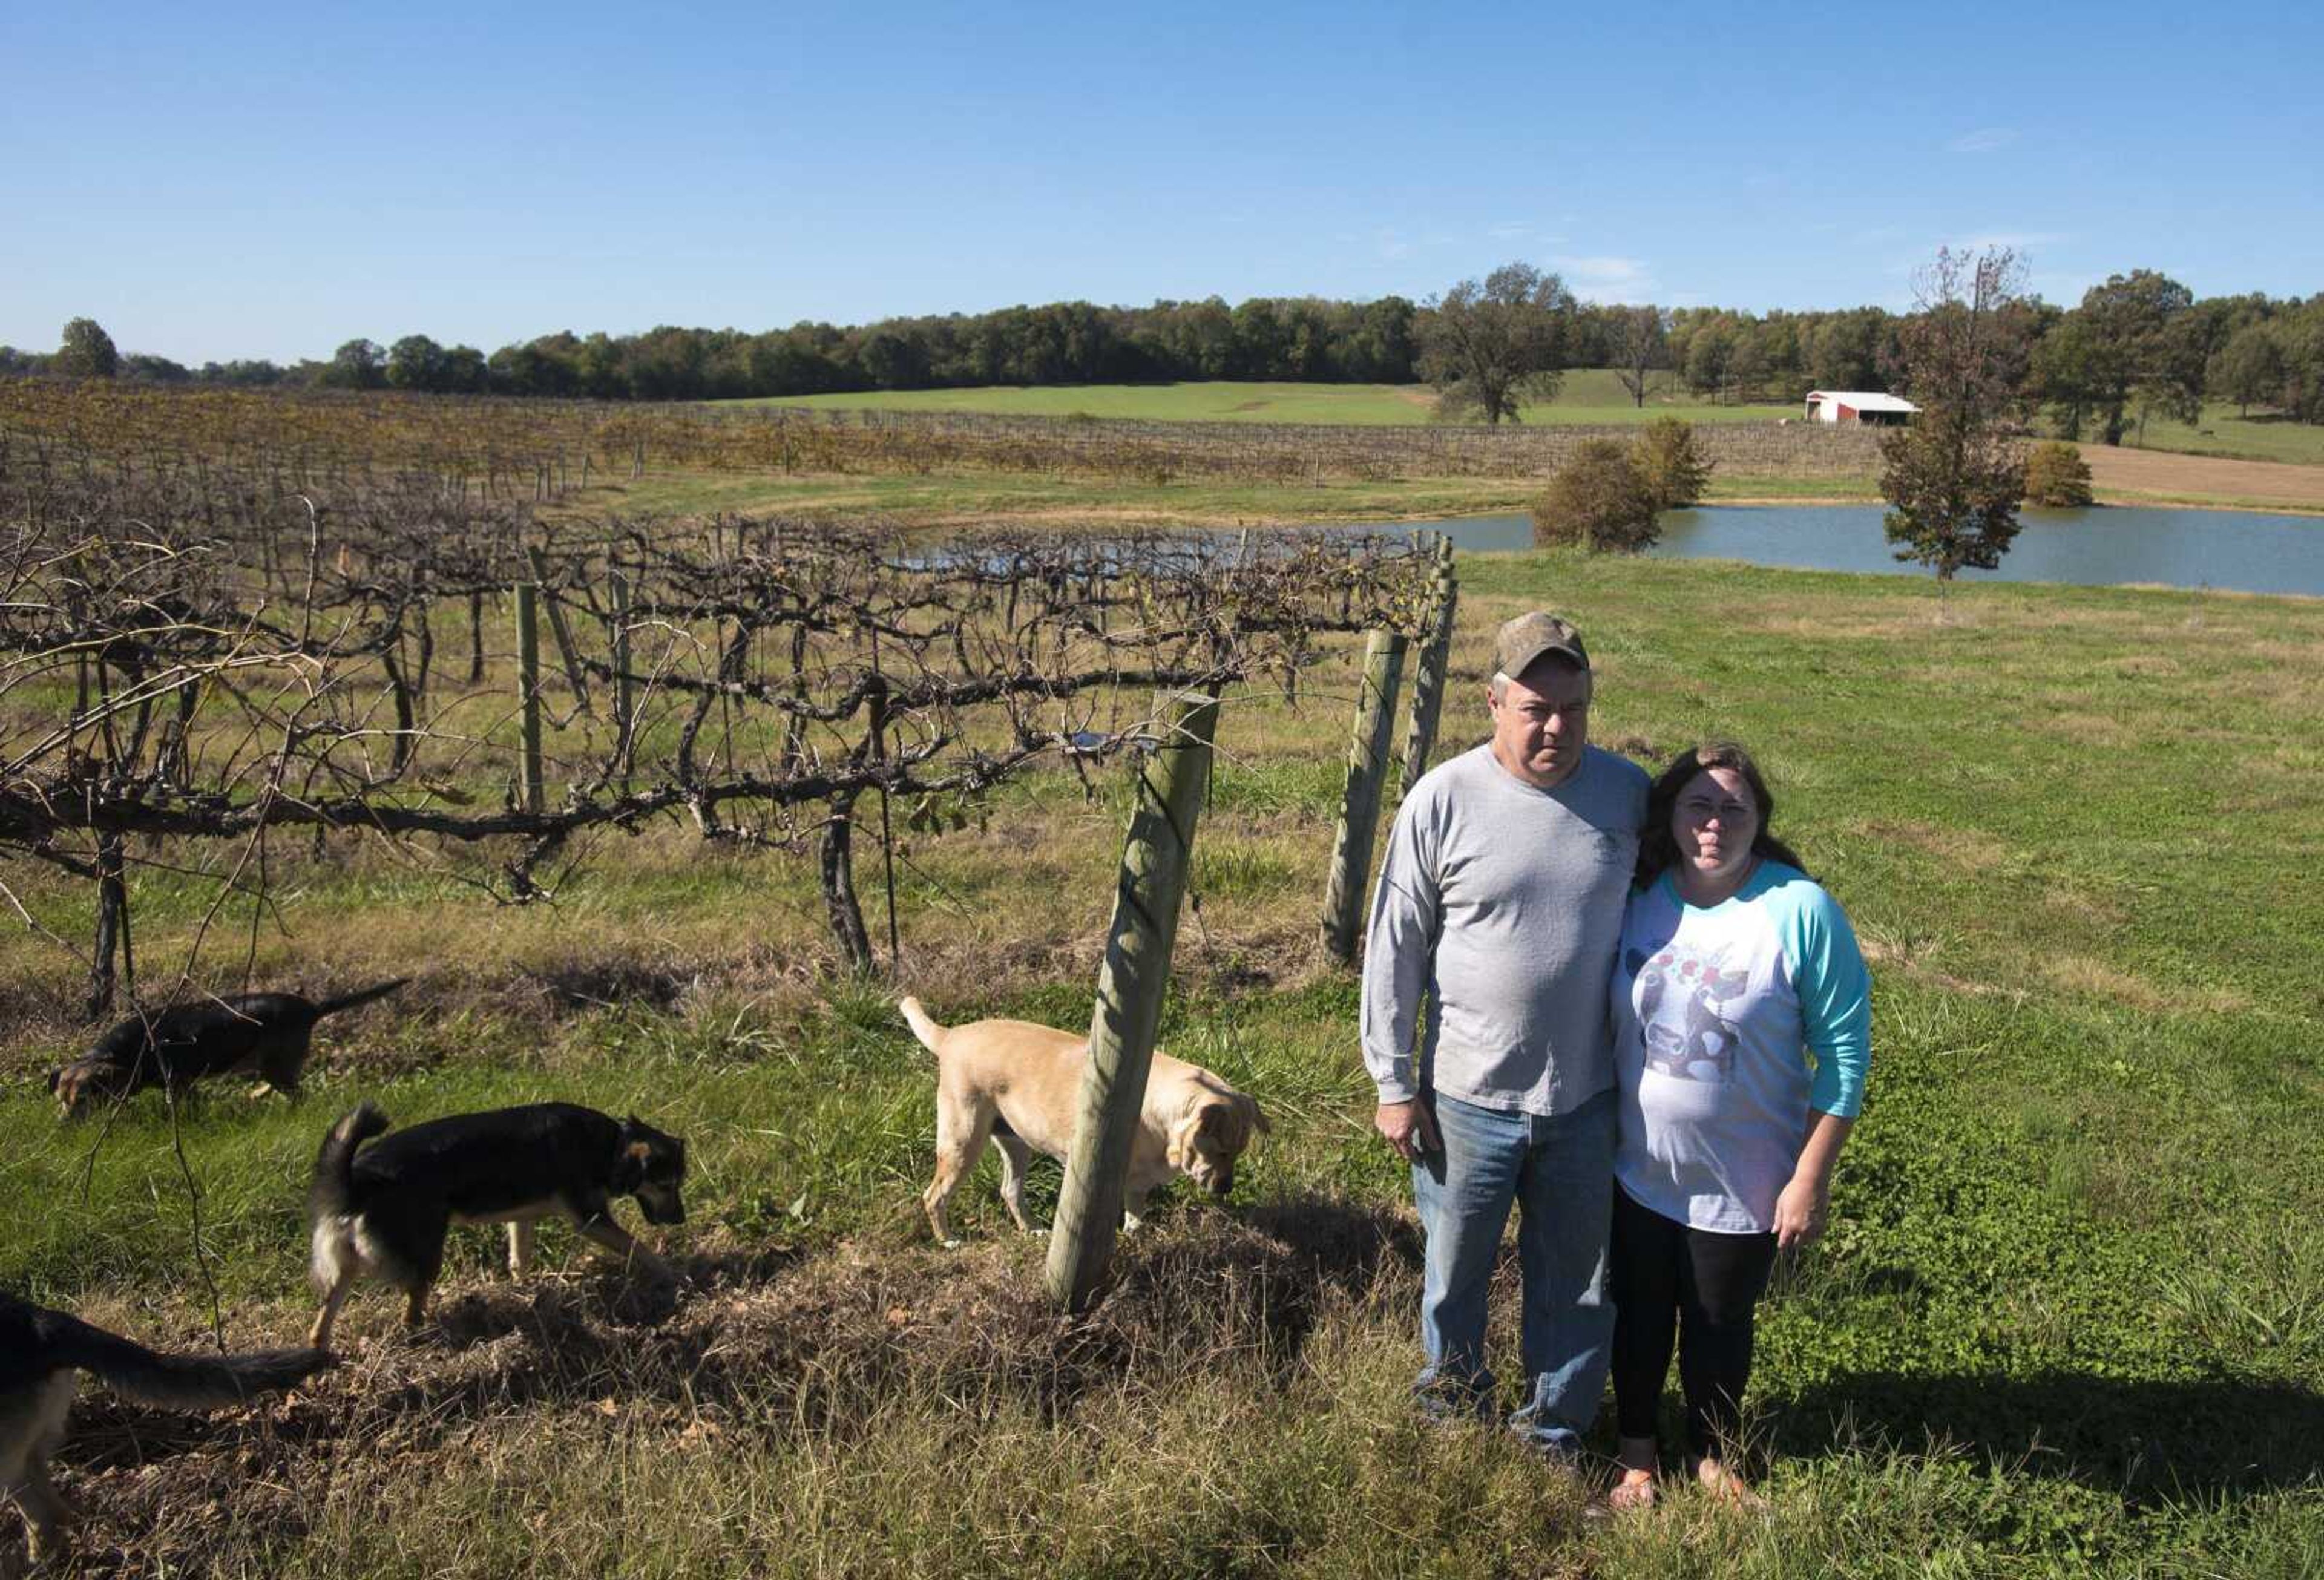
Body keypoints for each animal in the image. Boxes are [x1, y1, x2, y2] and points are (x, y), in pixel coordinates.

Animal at [48, 975, 409, 1110]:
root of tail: (311, 1008)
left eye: (82, 1102)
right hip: (268, 1066)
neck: (126, 1050)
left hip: (277, 1065)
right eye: (61, 1101)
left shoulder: (179, 1082)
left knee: (297, 1094)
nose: (64, 1128)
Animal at [306, 1096, 688, 1348]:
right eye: (667, 1185)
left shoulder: (522, 1218)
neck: (611, 1144)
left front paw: (526, 1289)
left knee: (320, 1326)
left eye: (679, 1184)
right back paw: (431, 1335)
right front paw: (671, 1275)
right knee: (411, 1312)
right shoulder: (590, 1220)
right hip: (425, 1258)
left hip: (344, 1271)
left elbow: (519, 1258)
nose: (681, 1220)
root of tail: (357, 1183)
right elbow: (639, 1247)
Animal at [901, 999, 1273, 1245]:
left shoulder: (1137, 1186)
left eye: (1239, 1152)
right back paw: (948, 1241)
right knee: (933, 1196)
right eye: (1220, 1151)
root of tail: (951, 1036)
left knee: (1010, 1190)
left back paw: (1031, 1229)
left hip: (1016, 1144)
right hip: (962, 1142)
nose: (1227, 1188)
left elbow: (1136, 1218)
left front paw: (1135, 1236)